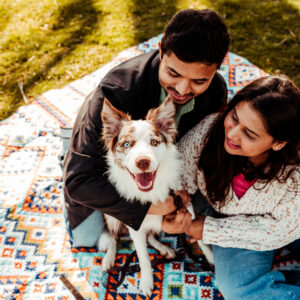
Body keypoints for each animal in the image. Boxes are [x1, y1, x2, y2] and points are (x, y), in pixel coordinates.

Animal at [99, 96, 182, 296]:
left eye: (154, 143)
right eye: (126, 144)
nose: (143, 162)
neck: (152, 194)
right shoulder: (134, 228)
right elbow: (143, 259)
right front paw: (146, 282)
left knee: (151, 236)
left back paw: (163, 248)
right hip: (112, 216)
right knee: (113, 237)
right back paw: (109, 258)